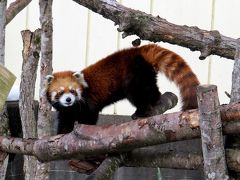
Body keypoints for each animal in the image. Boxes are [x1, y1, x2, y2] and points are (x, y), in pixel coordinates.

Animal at [44, 43, 200, 134]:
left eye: (72, 91)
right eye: (60, 92)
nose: (68, 100)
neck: (72, 107)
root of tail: (137, 50)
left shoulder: (88, 102)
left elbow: (89, 116)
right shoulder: (66, 111)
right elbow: (65, 120)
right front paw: (62, 133)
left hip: (134, 76)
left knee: (139, 94)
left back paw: (141, 112)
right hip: (145, 74)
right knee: (152, 89)